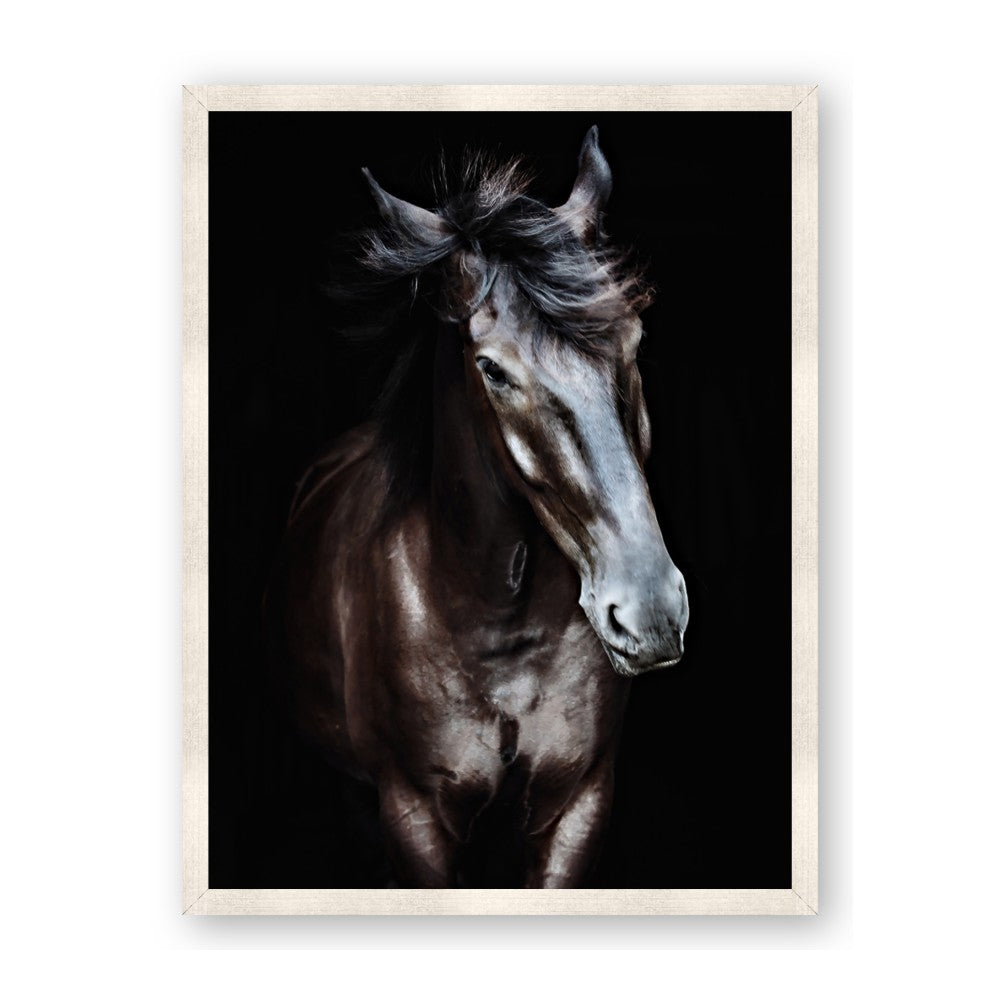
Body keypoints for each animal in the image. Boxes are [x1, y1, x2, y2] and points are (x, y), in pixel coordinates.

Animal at [265, 127, 689, 888]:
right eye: (492, 368)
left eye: (634, 338)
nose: (650, 611)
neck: (497, 627)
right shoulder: (414, 818)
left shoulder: (577, 806)